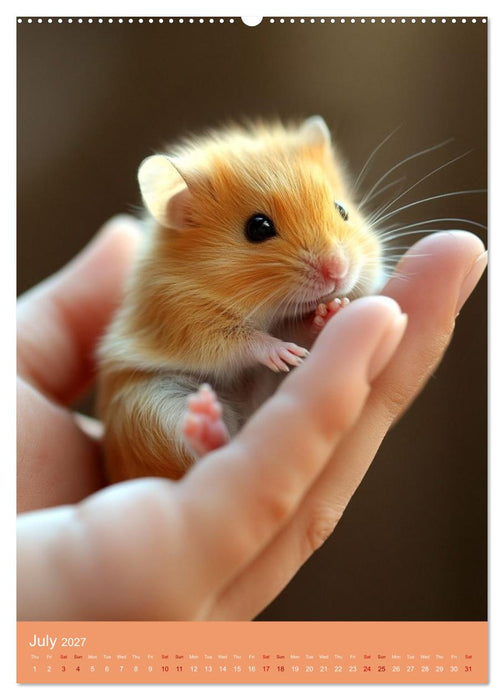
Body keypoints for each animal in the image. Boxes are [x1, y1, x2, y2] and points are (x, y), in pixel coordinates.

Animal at [97, 116, 384, 482]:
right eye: (258, 228)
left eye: (342, 209)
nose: (338, 270)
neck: (269, 310)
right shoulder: (184, 319)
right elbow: (242, 340)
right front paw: (284, 353)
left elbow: (301, 326)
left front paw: (332, 309)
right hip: (149, 409)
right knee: (208, 453)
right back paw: (205, 421)